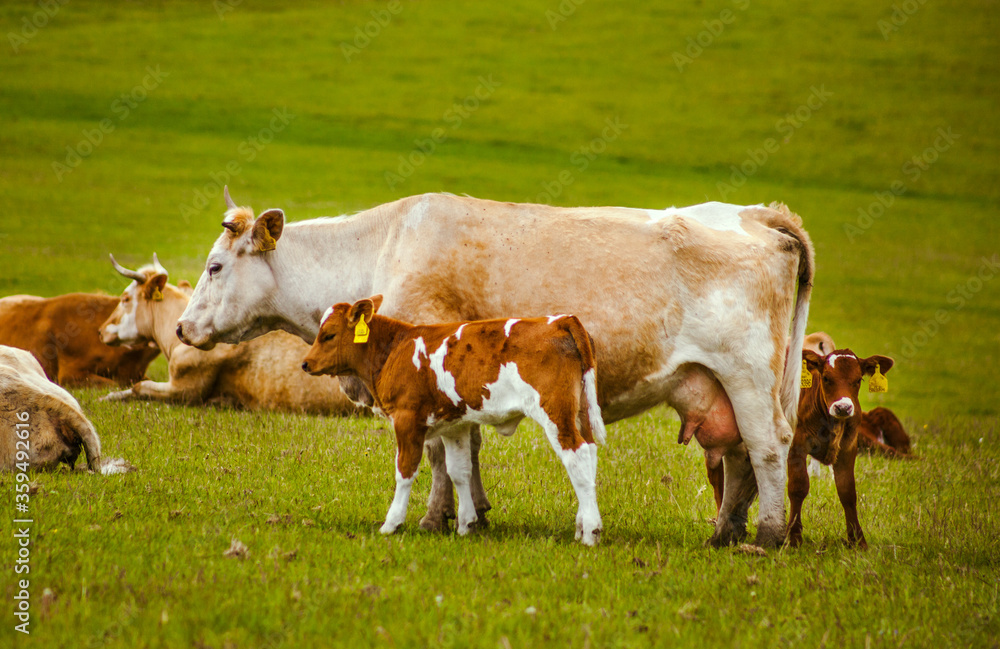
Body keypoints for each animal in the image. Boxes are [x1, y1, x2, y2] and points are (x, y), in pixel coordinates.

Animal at [301, 296, 606, 544]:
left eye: (328, 335)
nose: (305, 364)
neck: (395, 347)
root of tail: (560, 320)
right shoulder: (454, 426)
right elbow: (459, 471)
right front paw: (466, 524)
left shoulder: (407, 418)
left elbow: (405, 471)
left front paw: (392, 523)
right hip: (579, 411)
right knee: (590, 453)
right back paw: (581, 526)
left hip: (555, 412)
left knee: (577, 455)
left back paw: (591, 532)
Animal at [787, 348, 894, 549]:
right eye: (826, 378)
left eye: (858, 379)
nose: (843, 407)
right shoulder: (796, 445)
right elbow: (798, 487)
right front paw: (794, 537)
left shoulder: (848, 448)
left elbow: (847, 492)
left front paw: (857, 540)